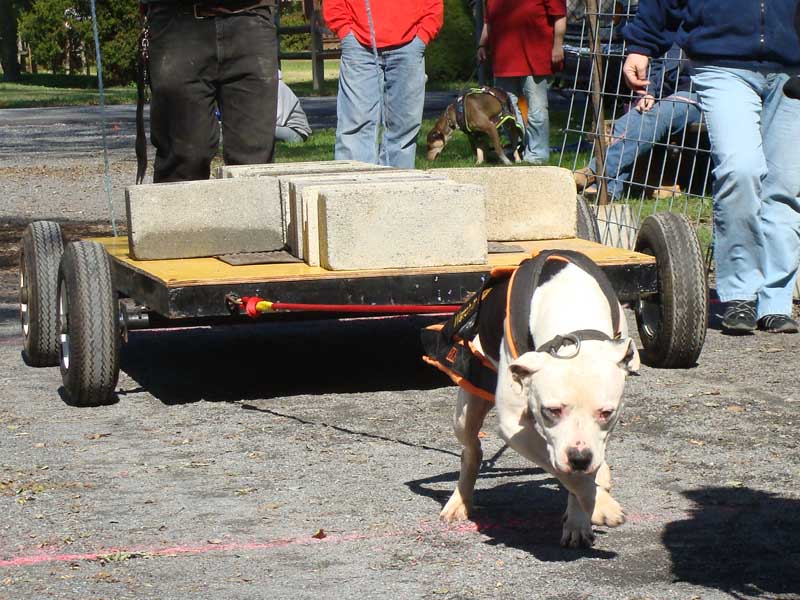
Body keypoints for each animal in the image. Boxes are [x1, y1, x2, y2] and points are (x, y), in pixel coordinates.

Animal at [422, 250, 640, 548]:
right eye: (552, 410)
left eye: (607, 413)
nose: (580, 458)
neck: (571, 308)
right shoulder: (513, 424)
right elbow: (564, 472)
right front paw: (602, 506)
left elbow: (579, 471)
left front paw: (579, 519)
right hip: (467, 407)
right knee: (472, 450)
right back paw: (459, 502)